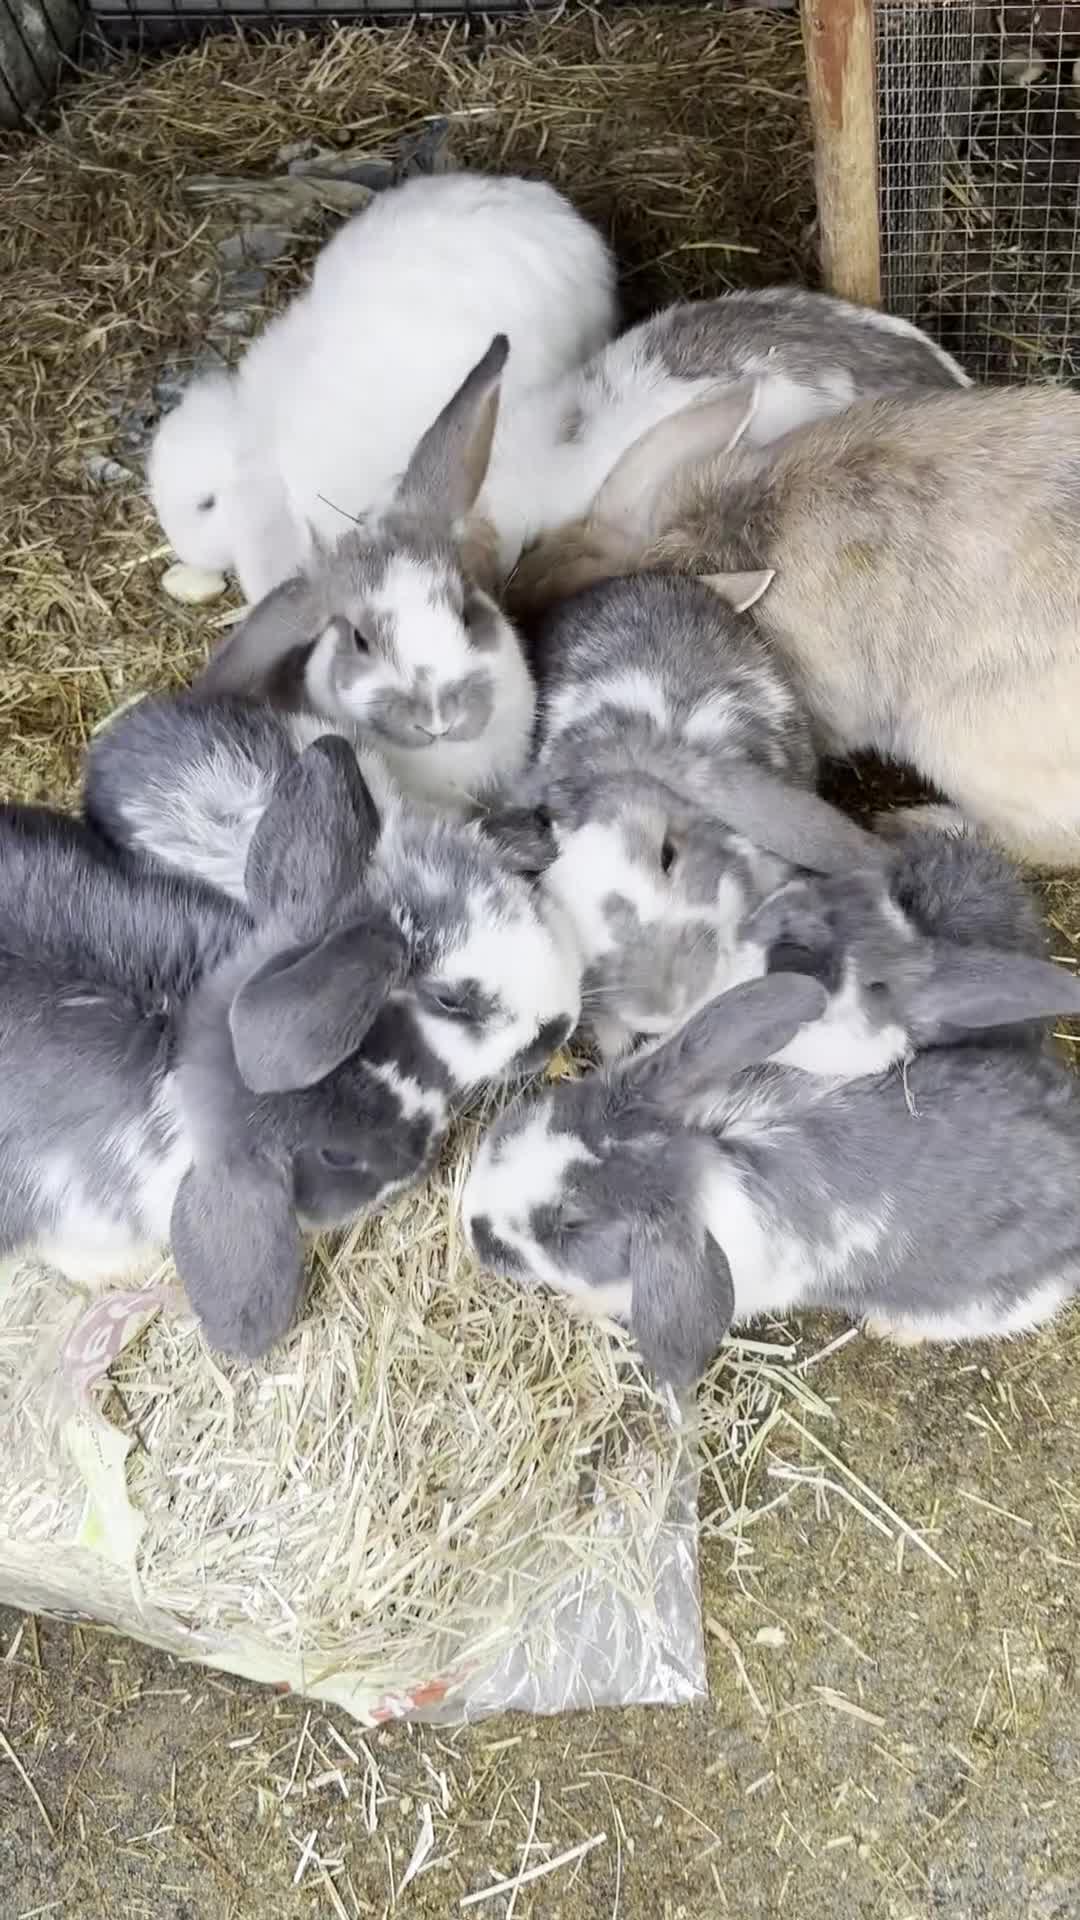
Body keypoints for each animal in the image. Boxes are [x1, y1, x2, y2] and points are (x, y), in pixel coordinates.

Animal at [463, 963, 1080, 1388]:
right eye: (542, 1116)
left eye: (570, 1227)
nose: (474, 1228)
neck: (698, 1149)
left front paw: (579, 1304)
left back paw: (892, 1328)